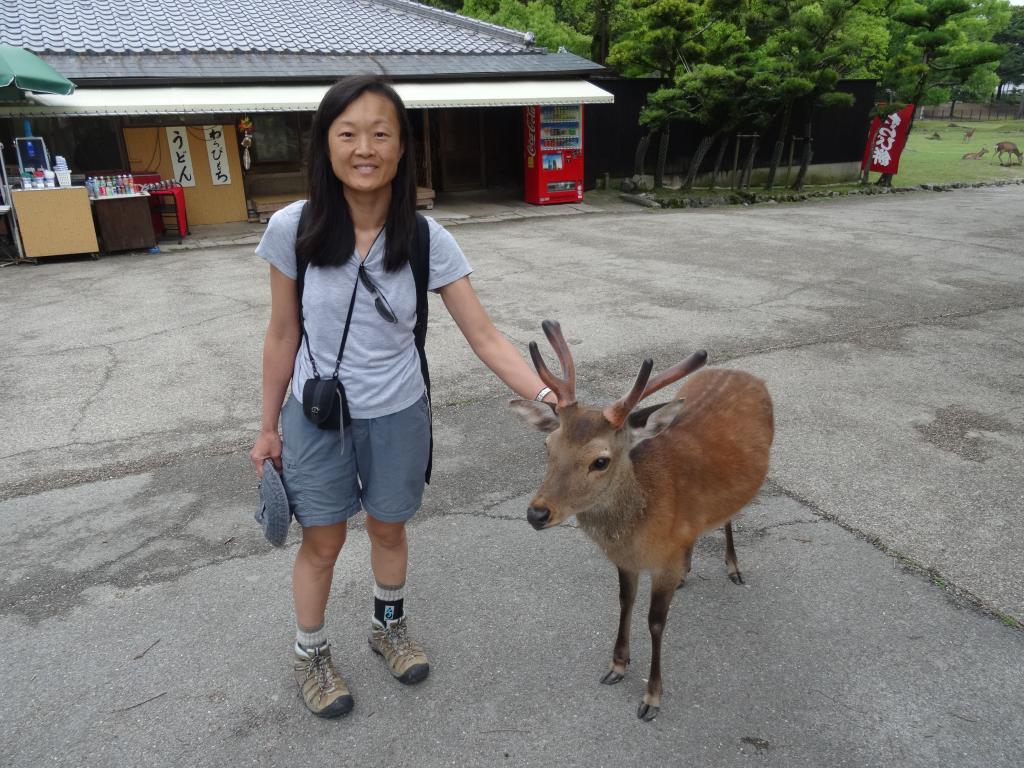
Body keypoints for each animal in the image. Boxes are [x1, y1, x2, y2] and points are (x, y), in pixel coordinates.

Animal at [507, 321, 770, 724]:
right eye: (547, 446)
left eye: (600, 461)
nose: (537, 513)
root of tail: (747, 374)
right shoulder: (628, 562)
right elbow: (624, 602)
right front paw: (617, 665)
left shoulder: (662, 562)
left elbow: (655, 621)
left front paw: (652, 697)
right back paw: (689, 570)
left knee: (729, 518)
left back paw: (733, 567)